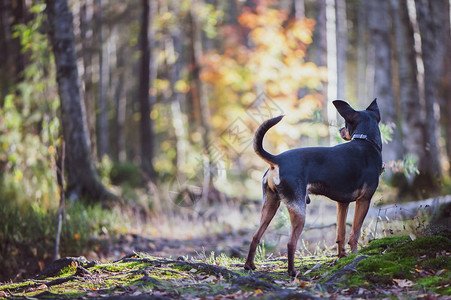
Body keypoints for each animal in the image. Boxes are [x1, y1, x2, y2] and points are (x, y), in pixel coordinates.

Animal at [245, 99, 384, 276]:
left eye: (345, 124)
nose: (340, 130)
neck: (366, 141)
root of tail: (276, 160)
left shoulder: (342, 203)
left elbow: (340, 234)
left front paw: (342, 257)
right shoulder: (364, 201)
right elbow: (354, 234)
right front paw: (355, 257)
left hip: (270, 205)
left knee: (255, 236)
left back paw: (249, 266)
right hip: (298, 210)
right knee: (291, 243)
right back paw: (292, 272)